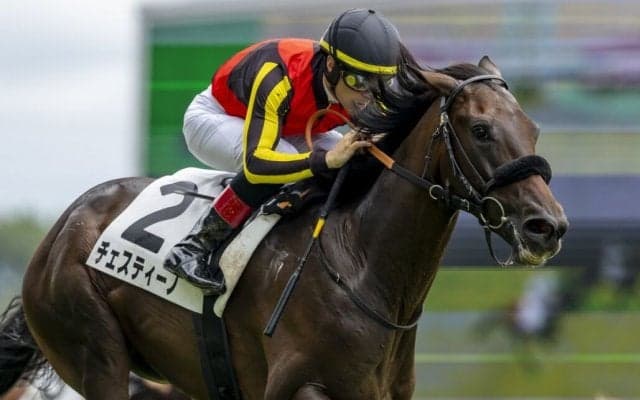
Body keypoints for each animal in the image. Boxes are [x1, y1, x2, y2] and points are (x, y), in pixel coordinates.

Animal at [0, 55, 567, 399]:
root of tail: (62, 227)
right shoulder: (299, 385)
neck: (362, 269)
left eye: (534, 128)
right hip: (93, 348)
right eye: (481, 129)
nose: (548, 227)